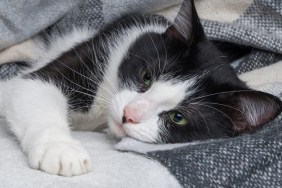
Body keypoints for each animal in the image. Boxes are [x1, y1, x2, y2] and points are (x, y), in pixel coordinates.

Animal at [0, 0, 282, 176]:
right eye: (146, 77)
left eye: (178, 117)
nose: (129, 115)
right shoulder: (98, 49)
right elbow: (32, 85)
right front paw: (60, 149)